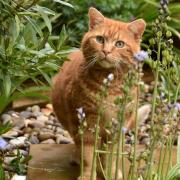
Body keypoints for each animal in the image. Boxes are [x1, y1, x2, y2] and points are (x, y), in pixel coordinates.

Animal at [51, 7, 146, 180]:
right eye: (100, 39)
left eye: (119, 44)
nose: (106, 51)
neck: (109, 84)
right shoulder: (86, 123)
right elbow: (88, 155)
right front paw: (89, 175)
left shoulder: (117, 127)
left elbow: (110, 155)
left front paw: (110, 172)